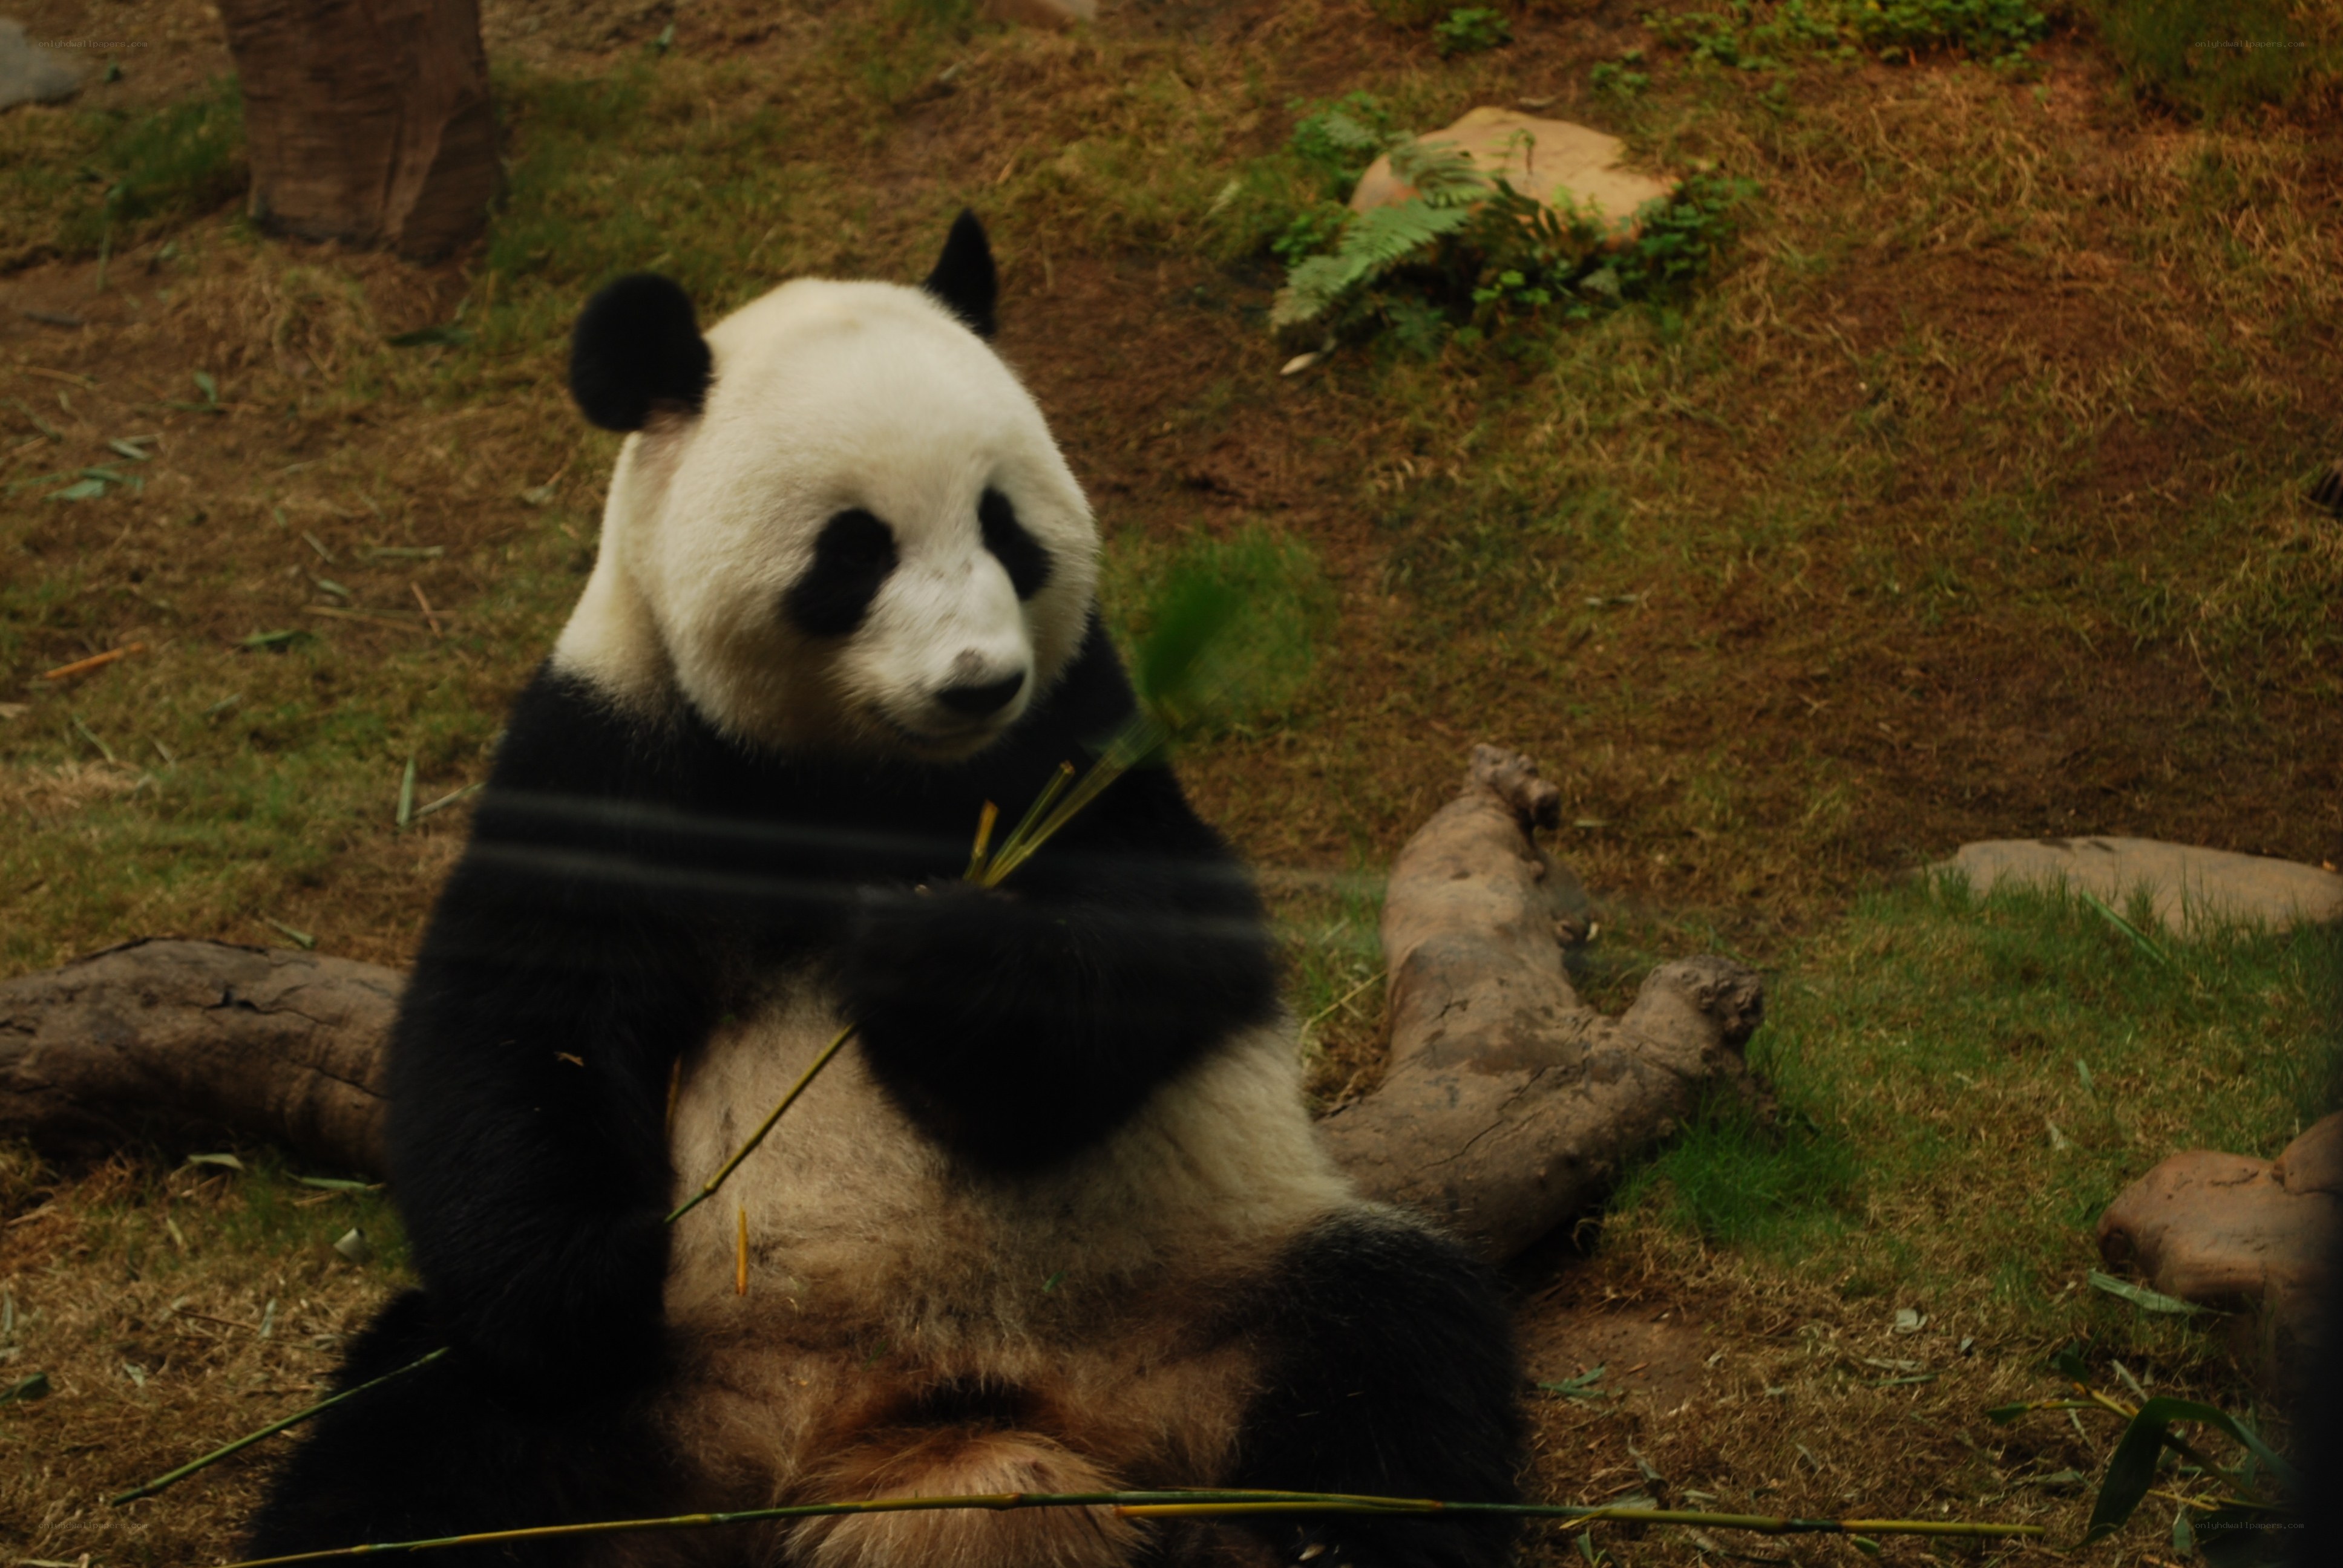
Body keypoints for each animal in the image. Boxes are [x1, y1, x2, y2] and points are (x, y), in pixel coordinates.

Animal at [243, 213, 1525, 1568]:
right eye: (853, 551)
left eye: (1006, 528)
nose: (977, 682)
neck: (863, 782)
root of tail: (936, 1445)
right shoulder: (618, 745)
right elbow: (518, 1021)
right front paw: (590, 1279)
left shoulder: (1078, 736)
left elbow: (1169, 950)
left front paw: (929, 956)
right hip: (674, 1383)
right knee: (415, 1447)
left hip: (1217, 1289)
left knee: (1386, 1367)